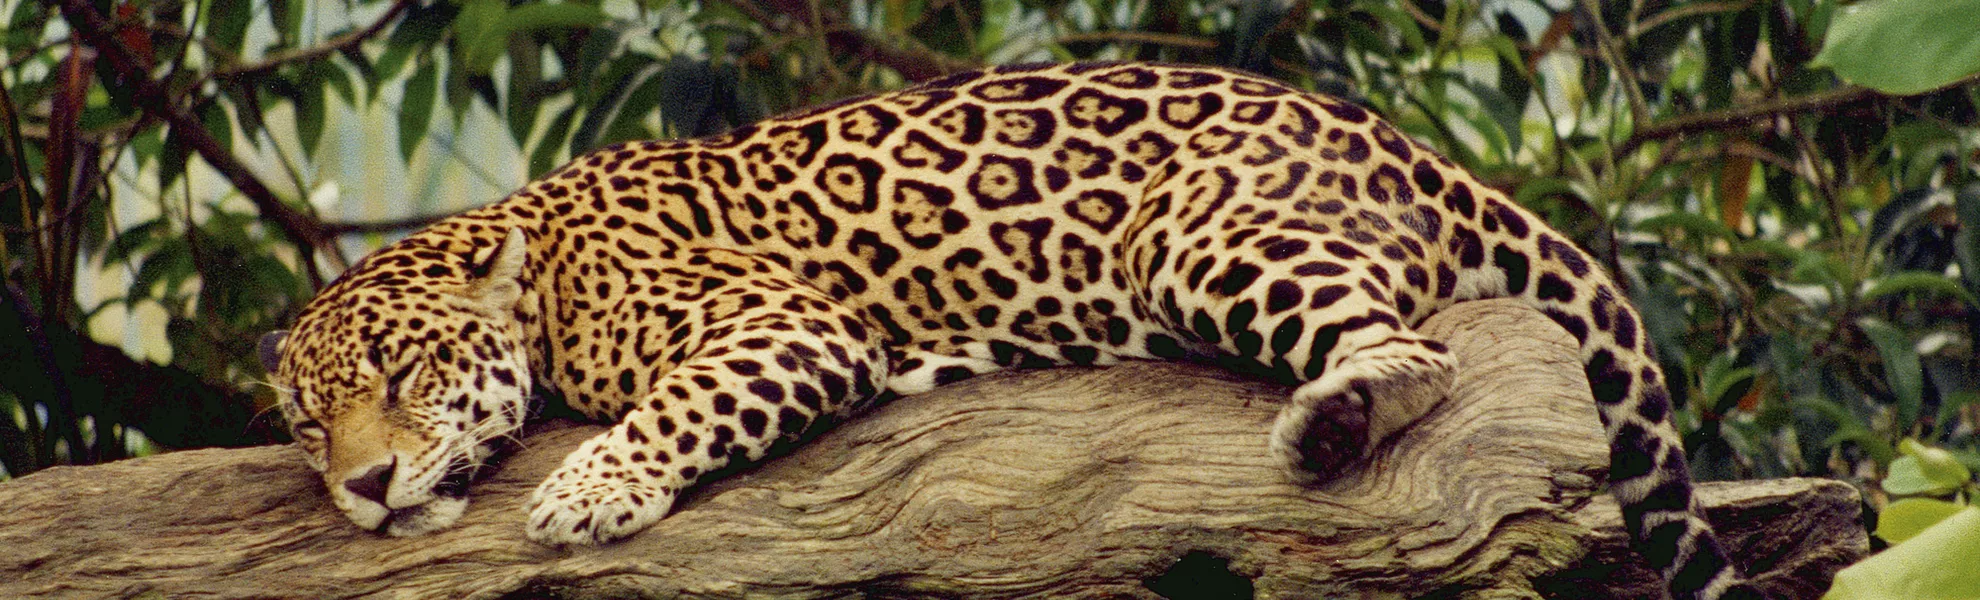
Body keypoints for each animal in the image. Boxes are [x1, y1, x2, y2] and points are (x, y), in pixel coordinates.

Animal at [257, 61, 1761, 599]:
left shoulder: (788, 324)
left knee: (1417, 349)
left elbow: (675, 407)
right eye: (308, 423)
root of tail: (1398, 140)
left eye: (404, 371)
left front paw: (586, 491)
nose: (368, 484)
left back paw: (1335, 417)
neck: (547, 275)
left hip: (1201, 234)